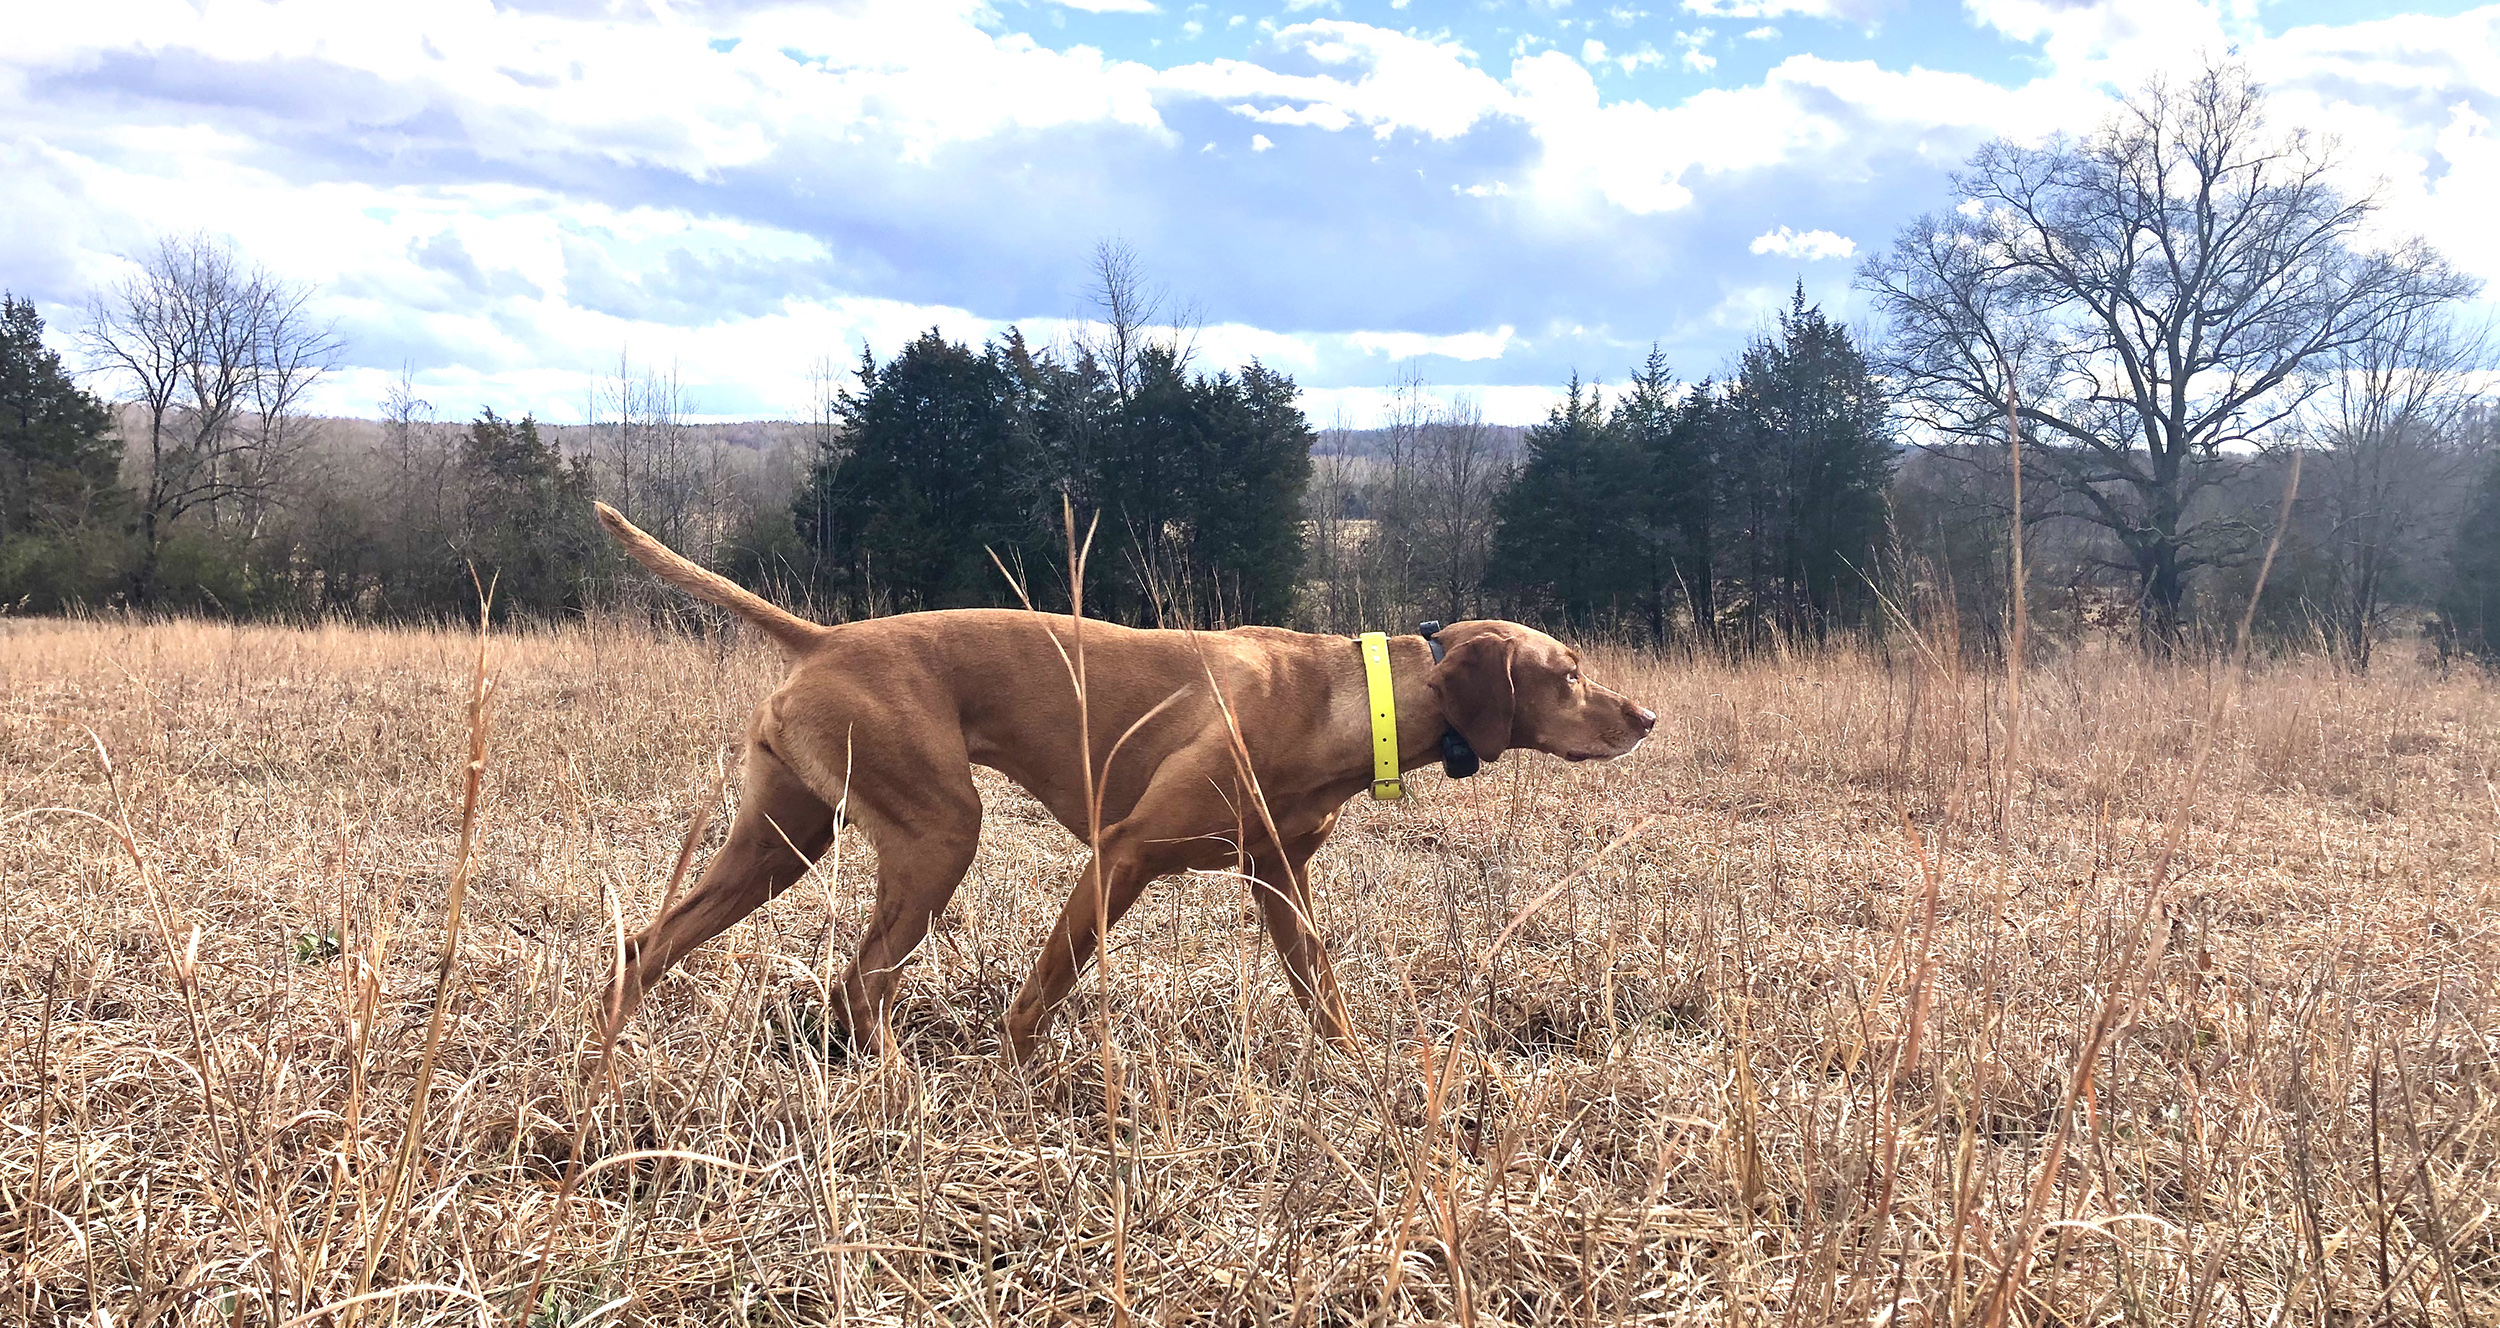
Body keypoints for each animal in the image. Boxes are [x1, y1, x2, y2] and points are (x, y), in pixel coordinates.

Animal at [595, 505, 1660, 1065]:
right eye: (1568, 673)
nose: (1646, 718)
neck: (1346, 705)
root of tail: (825, 639)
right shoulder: (1124, 853)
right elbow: (1041, 992)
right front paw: (1013, 1078)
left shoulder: (1280, 881)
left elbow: (1323, 990)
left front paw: (1360, 1075)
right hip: (939, 833)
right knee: (861, 979)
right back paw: (895, 1088)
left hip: (783, 838)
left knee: (650, 941)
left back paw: (610, 1061)